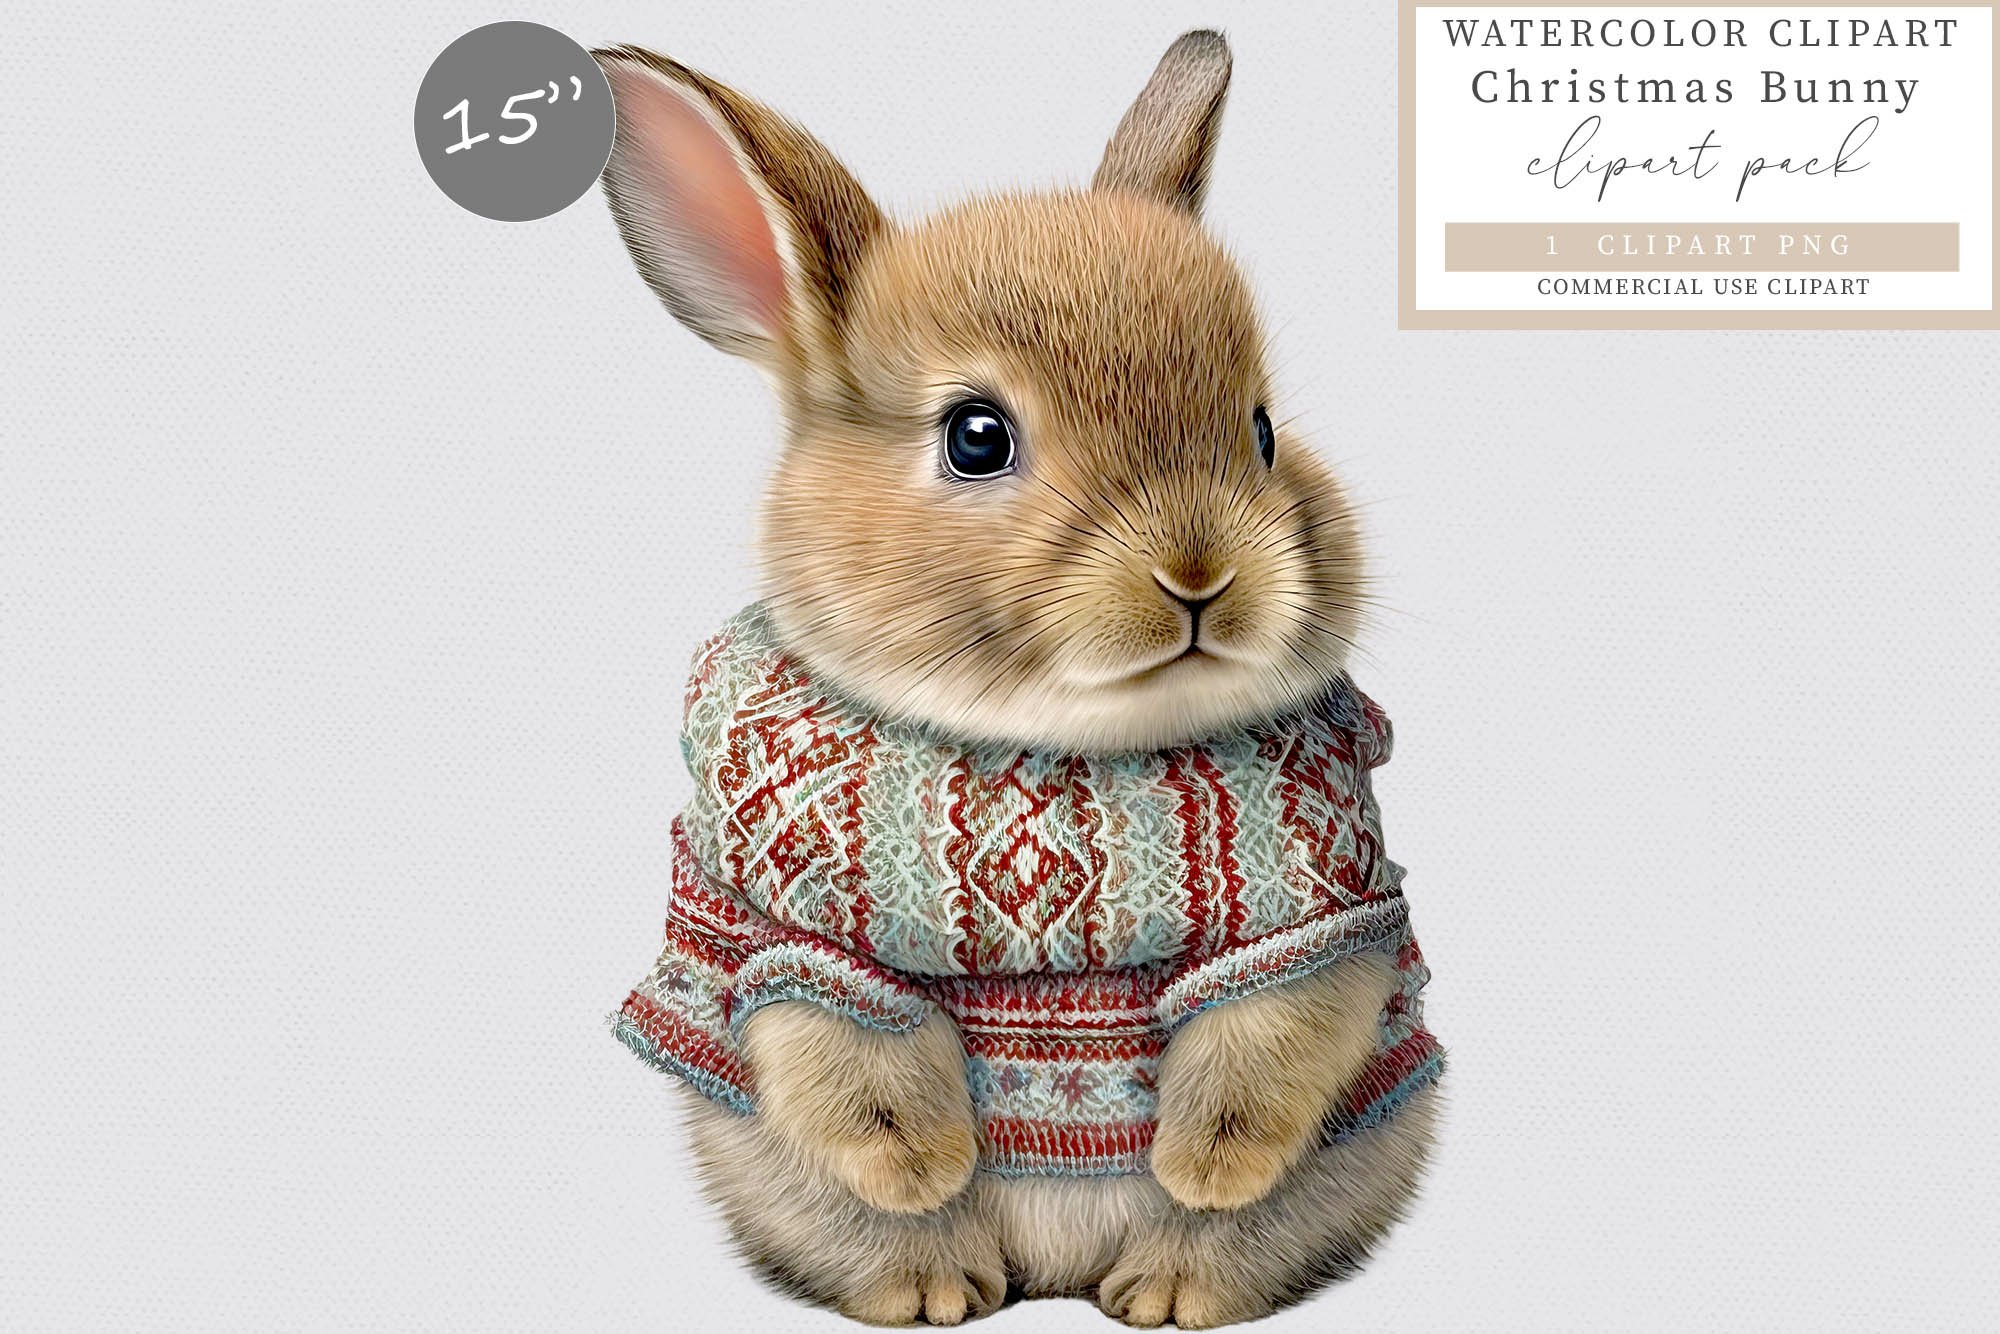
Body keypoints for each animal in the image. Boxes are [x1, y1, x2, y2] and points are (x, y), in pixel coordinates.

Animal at [592, 30, 1441, 1328]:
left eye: (1258, 430)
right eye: (975, 436)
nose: (1200, 571)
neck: (1056, 743)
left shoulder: (1321, 908)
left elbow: (1268, 1034)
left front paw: (1204, 1165)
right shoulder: (780, 920)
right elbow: (839, 1042)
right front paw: (924, 1165)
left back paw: (1160, 1287)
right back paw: (940, 1283)